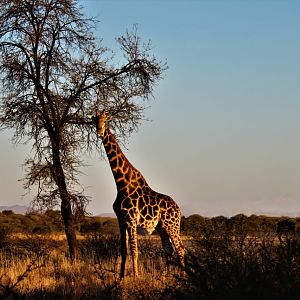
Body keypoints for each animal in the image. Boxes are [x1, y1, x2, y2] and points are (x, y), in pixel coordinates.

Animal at [94, 109, 185, 276]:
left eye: (106, 120)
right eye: (95, 120)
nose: (99, 130)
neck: (121, 183)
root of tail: (178, 209)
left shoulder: (130, 219)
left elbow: (134, 250)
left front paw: (135, 277)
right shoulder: (121, 220)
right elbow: (123, 250)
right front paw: (121, 277)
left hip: (172, 225)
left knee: (180, 248)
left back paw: (182, 275)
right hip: (161, 227)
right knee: (168, 249)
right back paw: (165, 277)